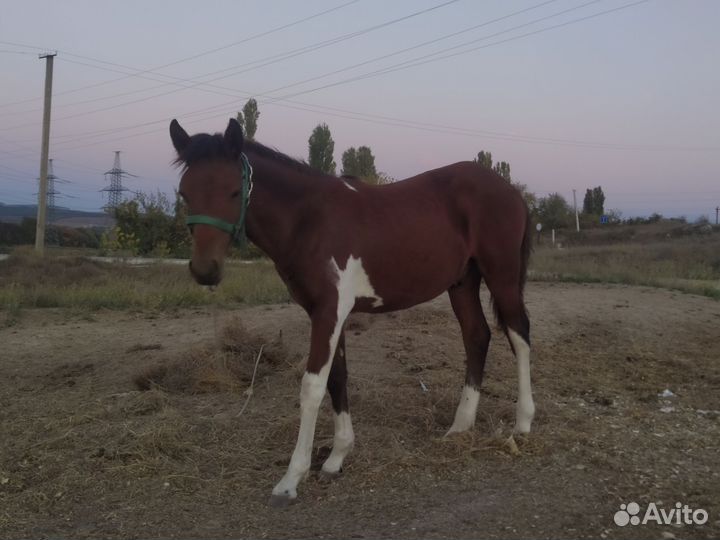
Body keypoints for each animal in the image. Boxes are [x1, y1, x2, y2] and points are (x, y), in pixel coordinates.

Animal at [170, 118, 535, 506]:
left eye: (233, 193)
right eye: (184, 193)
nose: (205, 270)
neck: (309, 218)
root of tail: (511, 191)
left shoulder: (330, 310)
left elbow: (312, 386)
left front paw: (291, 479)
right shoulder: (324, 312)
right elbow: (337, 377)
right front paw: (336, 458)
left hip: (502, 275)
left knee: (519, 335)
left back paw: (523, 421)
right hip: (463, 282)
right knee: (477, 336)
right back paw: (460, 425)